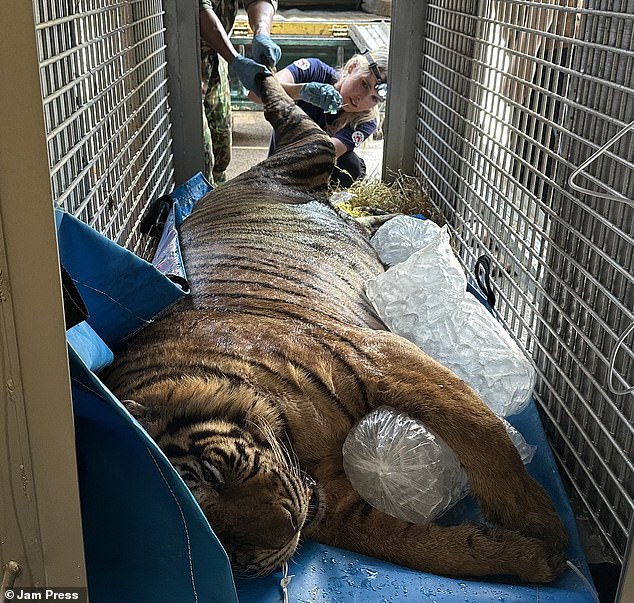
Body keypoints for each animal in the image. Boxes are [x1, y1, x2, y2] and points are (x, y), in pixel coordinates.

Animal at [101, 73, 564, 584]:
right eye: (218, 543)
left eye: (215, 472)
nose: (287, 529)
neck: (298, 447)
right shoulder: (337, 507)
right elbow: (412, 545)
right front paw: (527, 557)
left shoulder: (387, 358)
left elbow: (486, 441)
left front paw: (543, 527)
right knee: (364, 215)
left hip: (310, 150)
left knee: (295, 117)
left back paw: (265, 73)